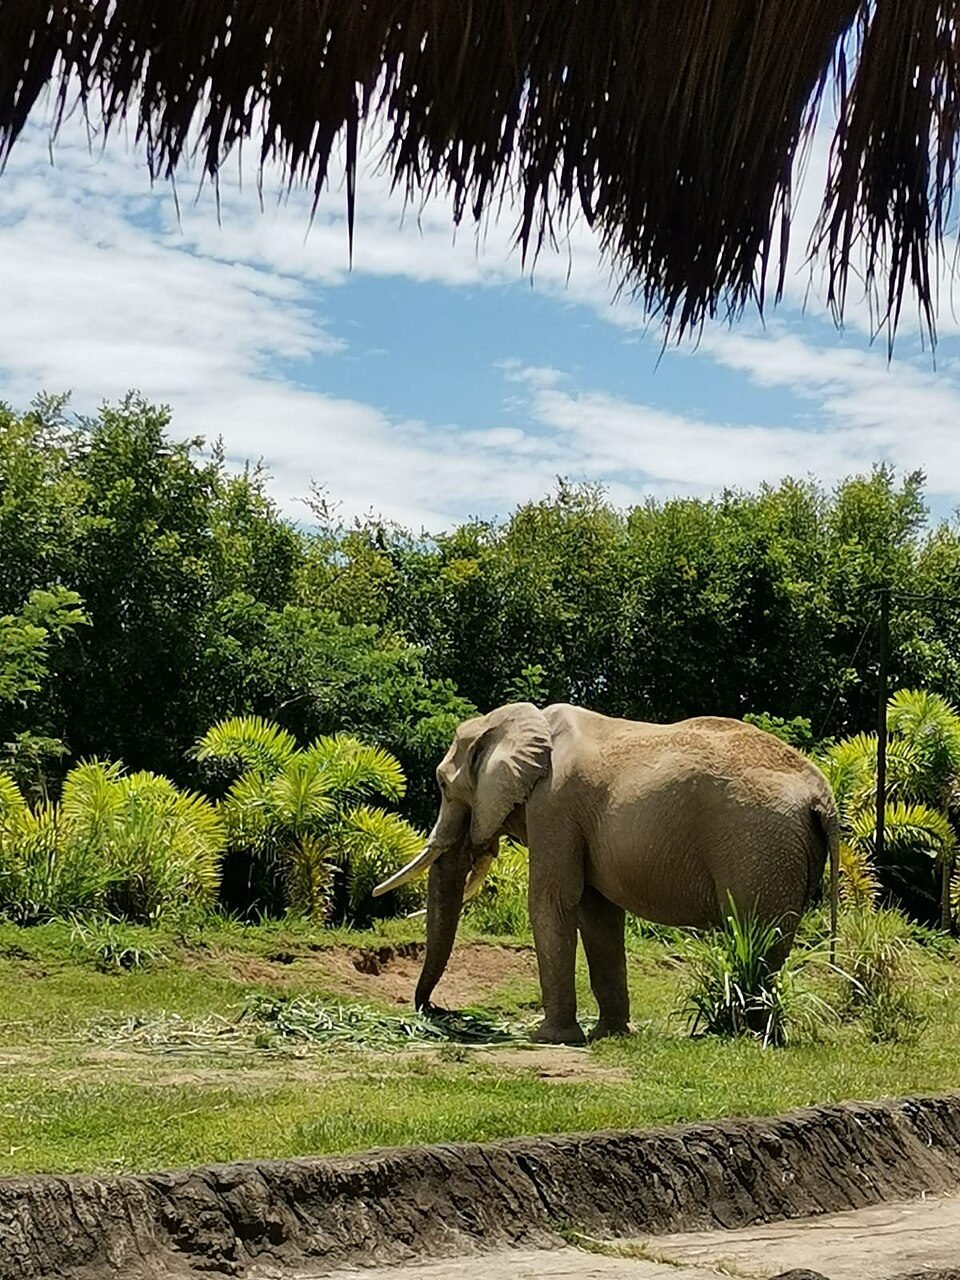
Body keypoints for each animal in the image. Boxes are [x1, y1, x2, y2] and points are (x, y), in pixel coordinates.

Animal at [374, 702, 839, 1046]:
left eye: (442, 785)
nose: (435, 1011)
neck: (520, 722)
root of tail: (823, 796)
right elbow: (597, 913)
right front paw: (607, 1034)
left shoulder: (555, 806)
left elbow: (552, 901)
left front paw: (548, 1039)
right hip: (777, 848)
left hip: (756, 846)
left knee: (755, 930)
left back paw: (744, 1034)